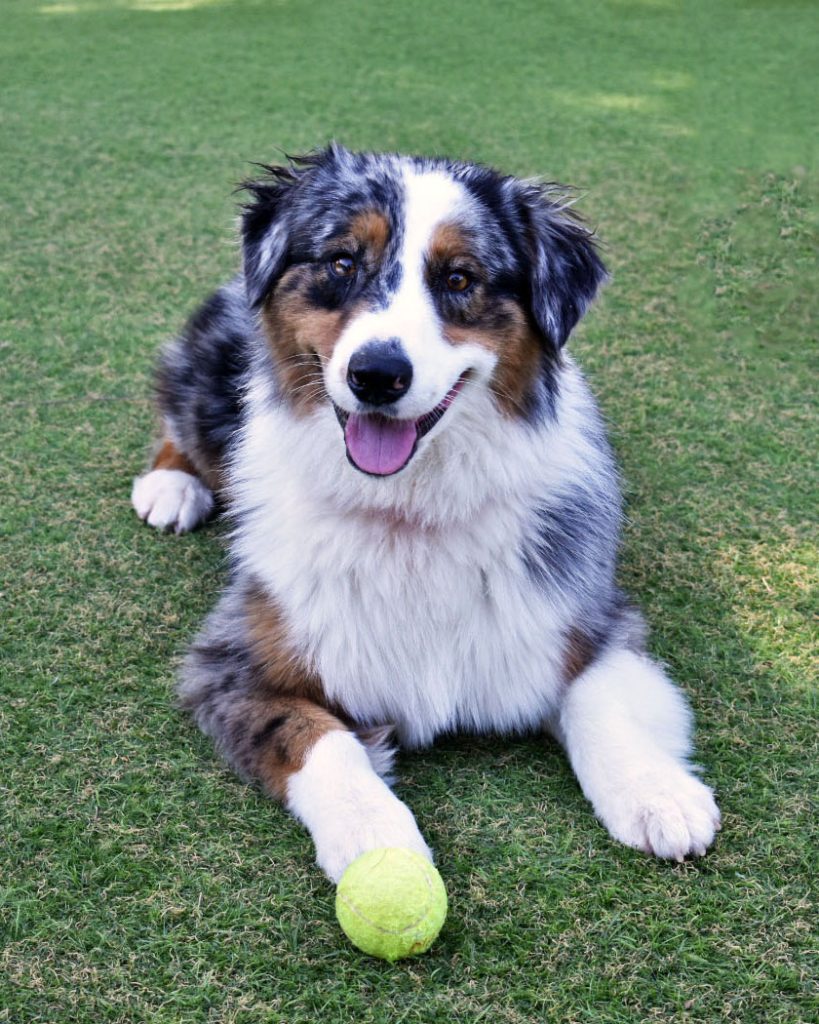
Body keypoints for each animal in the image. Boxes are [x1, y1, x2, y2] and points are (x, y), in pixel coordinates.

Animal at [131, 142, 720, 880]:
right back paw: (170, 486)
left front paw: (656, 793)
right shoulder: (229, 663)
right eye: (342, 263)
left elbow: (601, 698)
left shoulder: (589, 616)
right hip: (207, 380)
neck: (408, 510)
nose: (377, 375)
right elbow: (319, 739)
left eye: (460, 278)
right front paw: (376, 840)